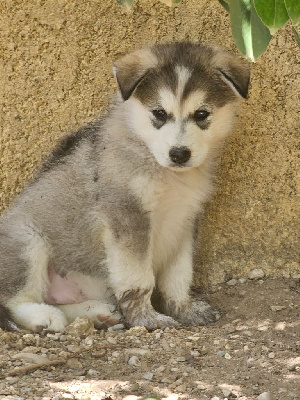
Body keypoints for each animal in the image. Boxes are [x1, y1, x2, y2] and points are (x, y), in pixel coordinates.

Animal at [0, 42, 248, 332]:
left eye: (201, 114)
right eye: (159, 114)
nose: (179, 154)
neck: (166, 173)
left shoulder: (185, 221)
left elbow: (179, 275)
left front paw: (183, 309)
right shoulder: (128, 218)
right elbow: (139, 280)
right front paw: (147, 318)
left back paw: (97, 312)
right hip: (26, 244)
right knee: (14, 301)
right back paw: (45, 317)